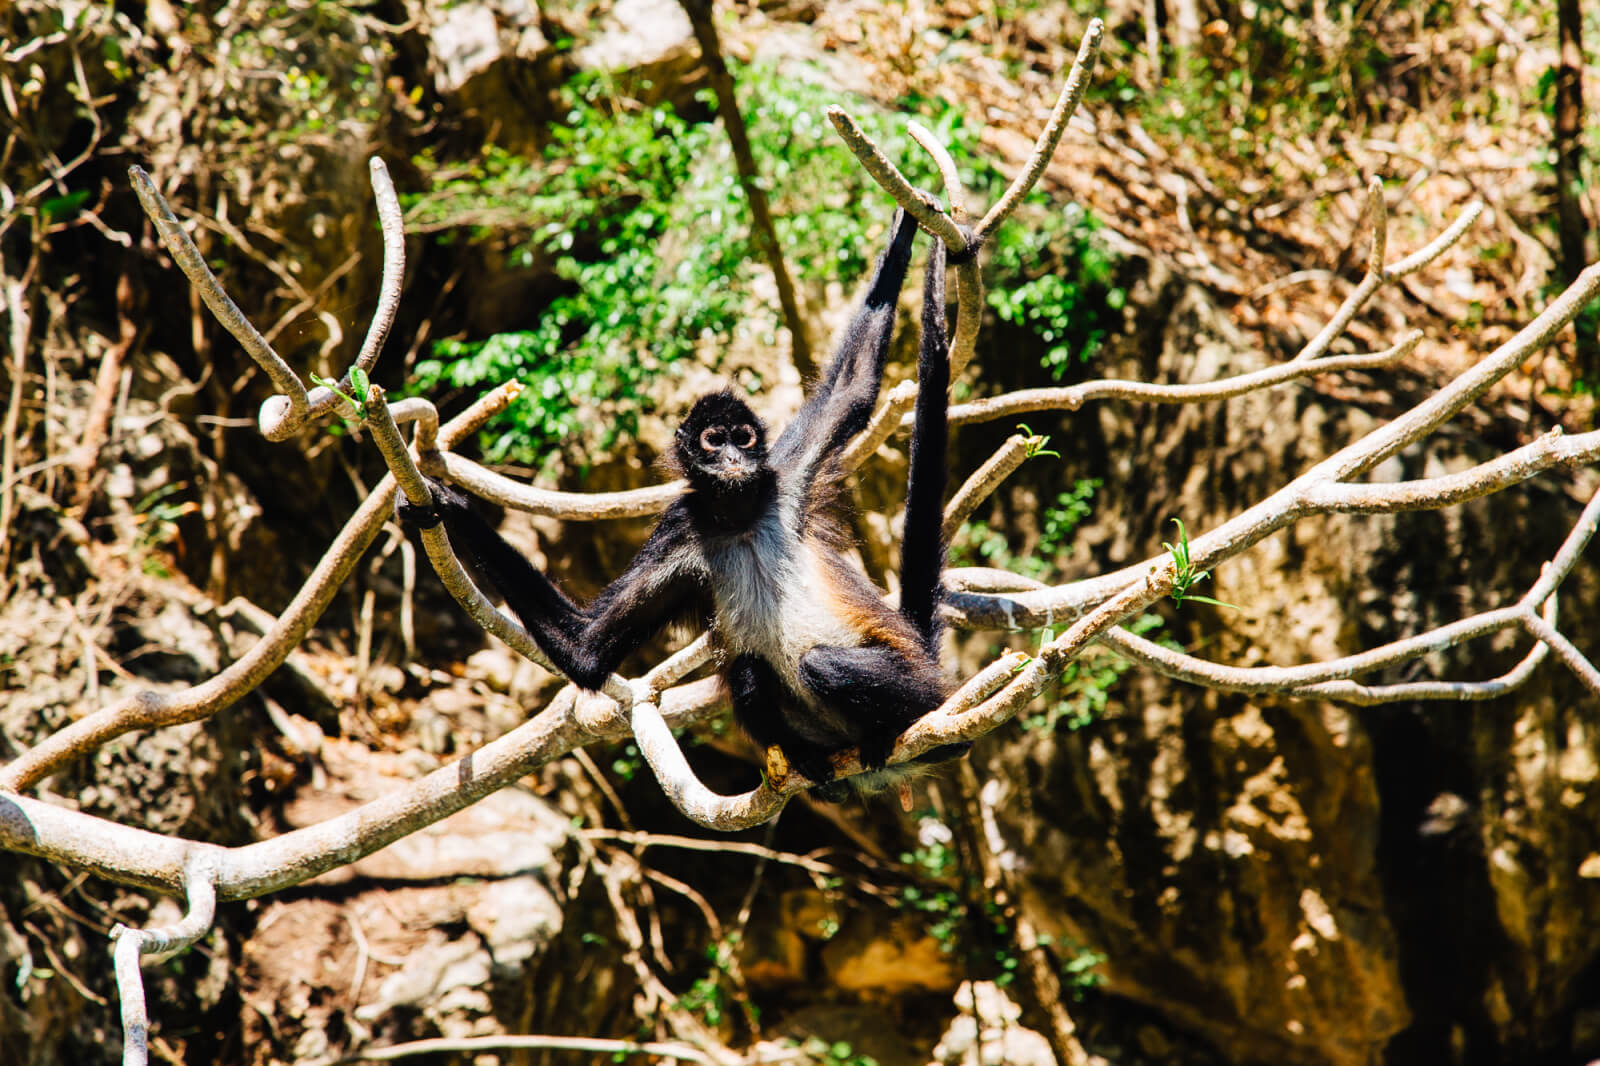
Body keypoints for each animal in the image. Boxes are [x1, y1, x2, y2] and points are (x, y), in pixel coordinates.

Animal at [406, 209, 966, 797]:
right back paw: (812, 762)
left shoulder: (783, 476)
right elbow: (587, 650)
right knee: (748, 671)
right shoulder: (682, 527)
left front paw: (905, 227)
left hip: (917, 682)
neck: (739, 518)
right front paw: (444, 504)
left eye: (743, 437)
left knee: (824, 665)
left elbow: (852, 387)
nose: (733, 459)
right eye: (713, 440)